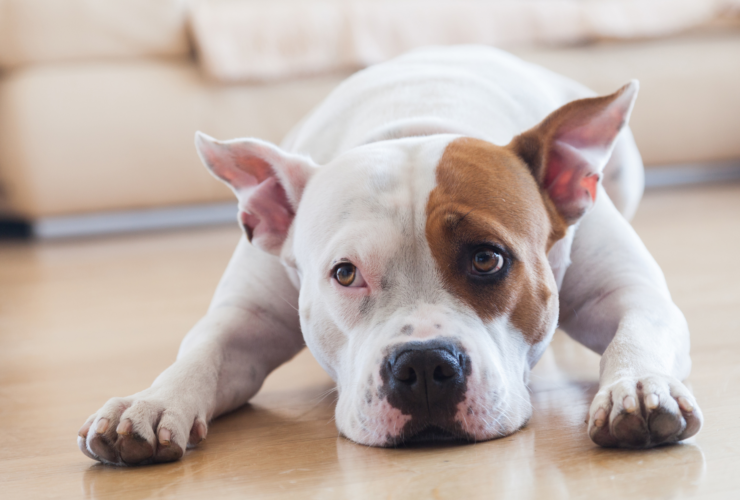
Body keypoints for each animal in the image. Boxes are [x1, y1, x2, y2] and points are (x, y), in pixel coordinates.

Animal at [78, 46, 704, 464]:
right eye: (344, 273)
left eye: (488, 259)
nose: (425, 366)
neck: (414, 122)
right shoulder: (246, 319)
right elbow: (200, 354)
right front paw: (153, 402)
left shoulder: (629, 294)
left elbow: (636, 330)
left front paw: (637, 387)